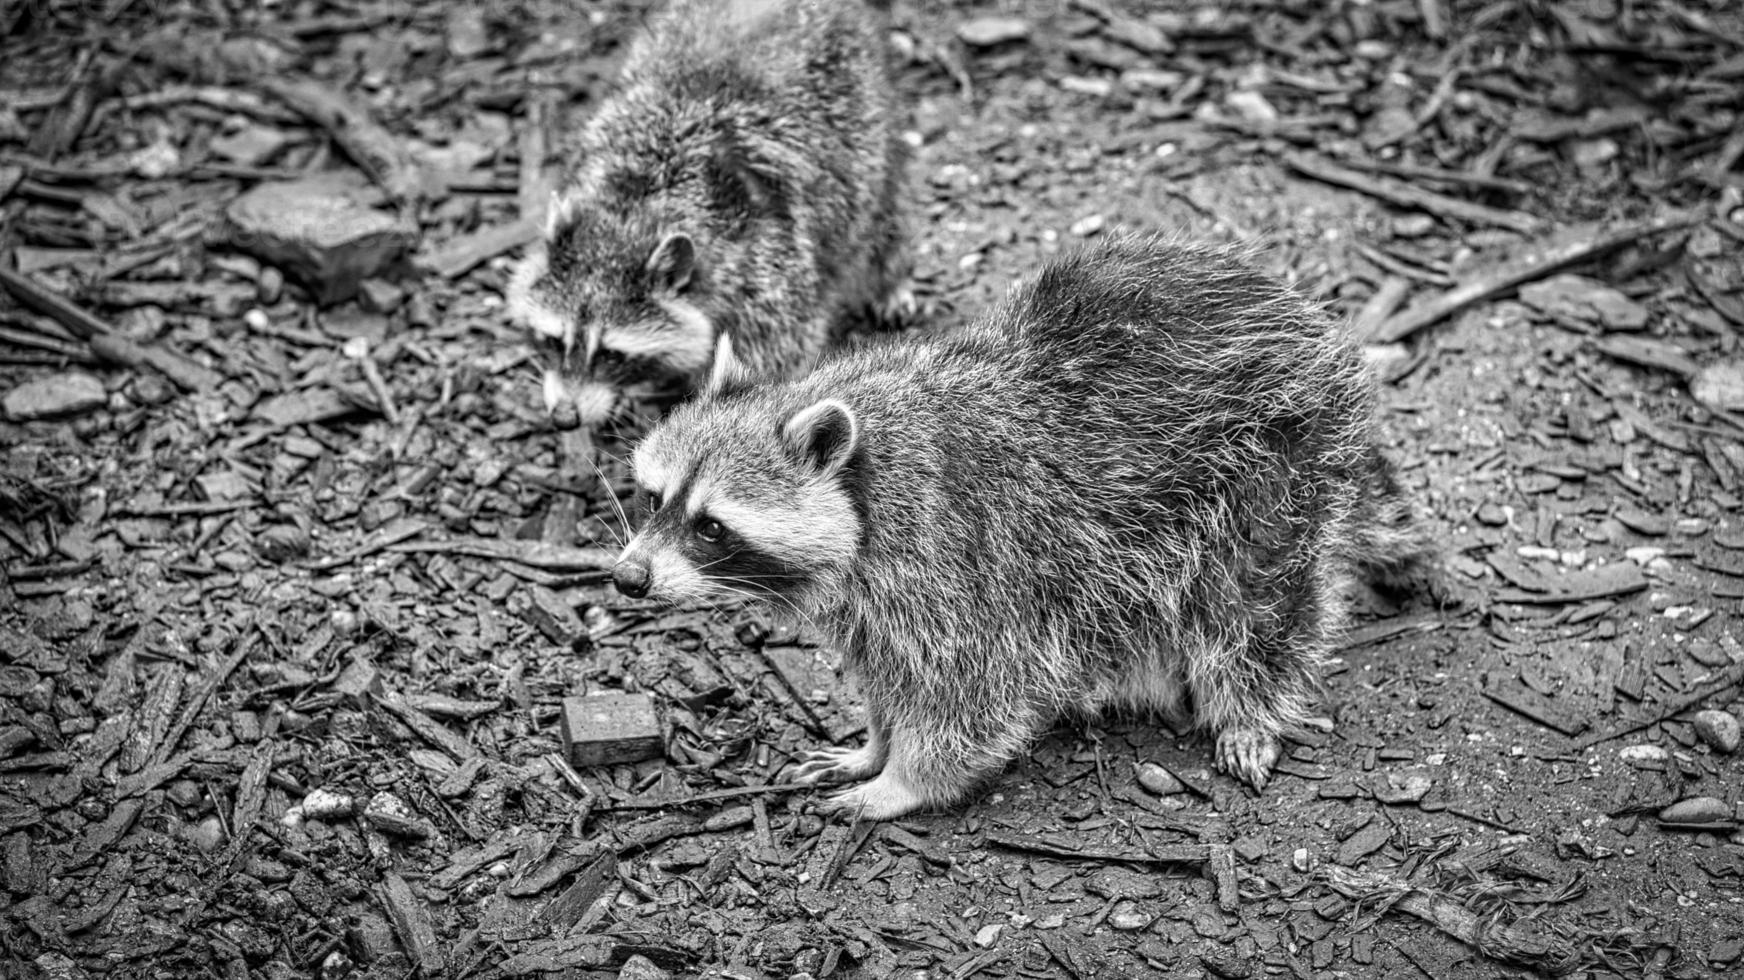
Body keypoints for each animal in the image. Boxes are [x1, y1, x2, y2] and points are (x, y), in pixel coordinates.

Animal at [505, 0, 913, 430]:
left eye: (612, 354)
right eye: (553, 340)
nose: (565, 418)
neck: (633, 208)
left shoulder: (771, 272)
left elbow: (773, 362)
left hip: (869, 120)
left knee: (885, 214)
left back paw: (891, 277)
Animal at [613, 231, 1430, 812]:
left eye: (711, 527)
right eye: (654, 500)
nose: (627, 578)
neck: (867, 481)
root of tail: (1308, 315)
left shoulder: (959, 562)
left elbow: (972, 697)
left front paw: (903, 781)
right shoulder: (871, 599)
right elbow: (887, 672)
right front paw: (875, 744)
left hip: (1273, 463)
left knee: (1252, 603)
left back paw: (1246, 706)